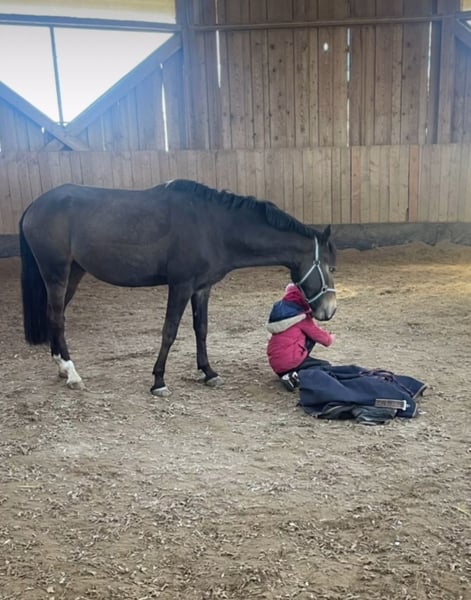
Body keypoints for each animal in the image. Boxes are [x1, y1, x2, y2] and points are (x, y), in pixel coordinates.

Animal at [19, 179, 337, 396]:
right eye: (331, 268)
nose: (329, 311)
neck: (214, 226)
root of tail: (34, 206)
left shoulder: (201, 288)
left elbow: (201, 329)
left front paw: (208, 372)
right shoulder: (181, 286)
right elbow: (170, 330)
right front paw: (158, 380)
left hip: (73, 273)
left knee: (54, 315)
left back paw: (61, 367)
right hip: (57, 274)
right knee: (57, 318)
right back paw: (72, 373)